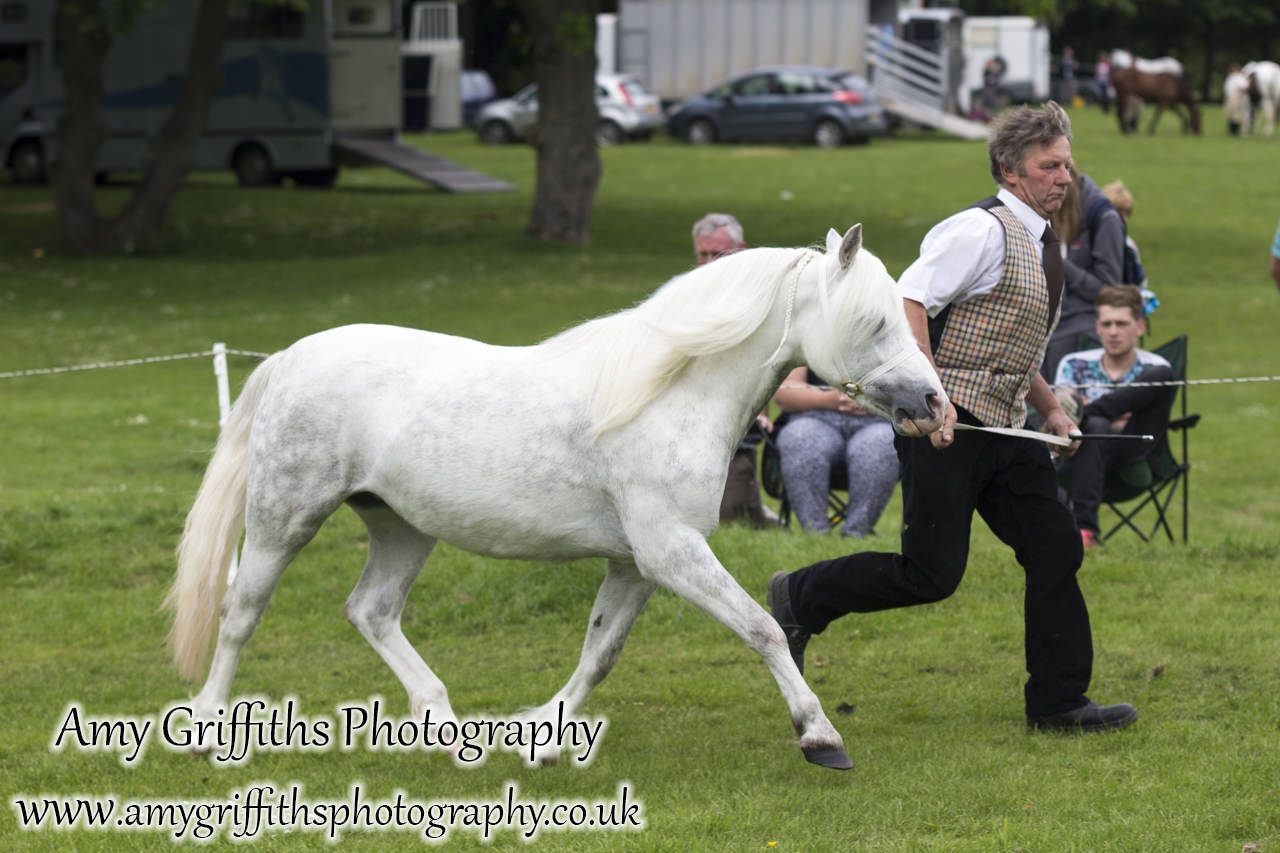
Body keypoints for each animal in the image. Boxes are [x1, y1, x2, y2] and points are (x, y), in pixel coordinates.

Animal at [165, 222, 952, 768]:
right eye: (874, 322)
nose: (933, 403)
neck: (667, 394)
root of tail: (291, 356)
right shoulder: (672, 553)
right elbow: (762, 628)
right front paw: (820, 735)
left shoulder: (636, 565)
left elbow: (600, 651)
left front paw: (541, 735)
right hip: (284, 518)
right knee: (241, 612)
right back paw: (206, 726)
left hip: (402, 528)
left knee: (372, 611)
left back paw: (444, 723)